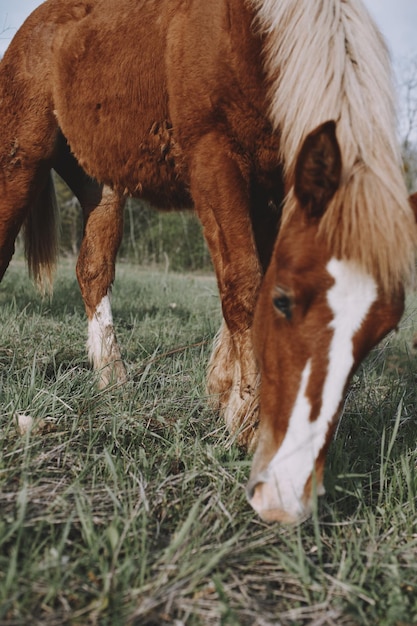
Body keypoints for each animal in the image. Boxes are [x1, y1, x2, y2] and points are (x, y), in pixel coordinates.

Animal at [0, 0, 416, 520]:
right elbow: (242, 284)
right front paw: (248, 422)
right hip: (21, 159)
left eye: (385, 327)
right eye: (285, 303)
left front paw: (227, 398)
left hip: (100, 184)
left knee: (93, 270)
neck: (250, 35)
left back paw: (114, 382)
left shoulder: (274, 185)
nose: (287, 496)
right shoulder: (214, 160)